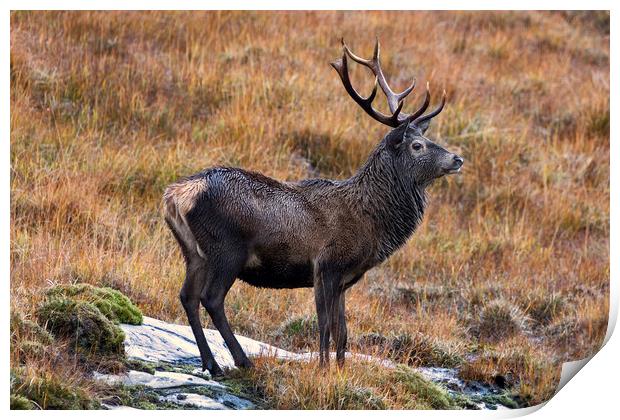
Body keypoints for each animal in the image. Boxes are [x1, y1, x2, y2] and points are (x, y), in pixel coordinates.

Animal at [162, 39, 462, 376]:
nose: (457, 159)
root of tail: (176, 196)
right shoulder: (326, 265)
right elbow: (325, 326)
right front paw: (322, 369)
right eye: (417, 146)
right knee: (211, 299)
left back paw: (211, 363)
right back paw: (242, 361)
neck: (370, 223)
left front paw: (340, 371)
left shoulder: (345, 279)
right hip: (226, 248)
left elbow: (343, 332)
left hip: (193, 252)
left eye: (426, 138)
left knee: (187, 296)